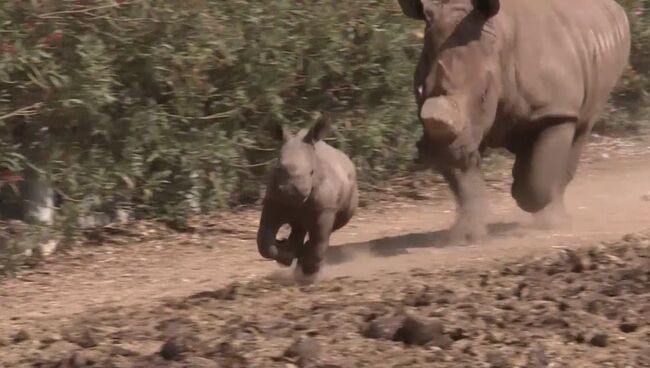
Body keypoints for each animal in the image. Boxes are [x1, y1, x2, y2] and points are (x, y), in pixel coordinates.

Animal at [256, 118, 356, 284]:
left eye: (311, 172)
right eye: (278, 168)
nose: (291, 192)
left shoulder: (325, 209)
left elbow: (319, 239)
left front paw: (309, 273)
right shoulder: (273, 200)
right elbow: (264, 241)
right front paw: (286, 255)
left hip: (351, 191)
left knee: (326, 232)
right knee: (300, 226)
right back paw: (293, 252)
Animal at [398, 0, 632, 242]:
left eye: (484, 94)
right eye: (419, 91)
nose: (438, 152)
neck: (499, 40)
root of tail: (616, 7)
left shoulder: (555, 110)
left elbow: (536, 178)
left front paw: (521, 193)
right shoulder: (464, 132)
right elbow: (465, 182)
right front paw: (466, 236)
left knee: (581, 129)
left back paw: (555, 220)